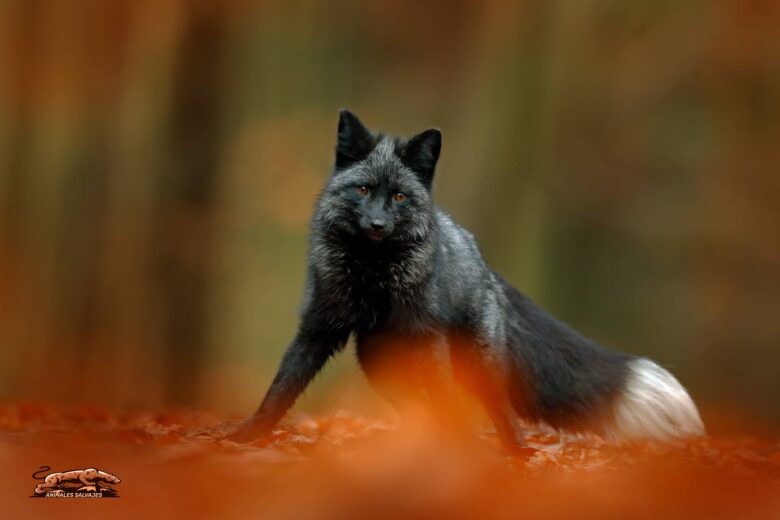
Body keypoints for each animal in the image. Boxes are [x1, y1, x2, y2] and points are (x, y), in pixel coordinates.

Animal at [228, 109, 705, 448]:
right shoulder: (317, 327)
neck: (373, 277)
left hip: (474, 362)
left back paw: (516, 454)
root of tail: (486, 268)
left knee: (493, 412)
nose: (378, 224)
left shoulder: (428, 338)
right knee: (419, 408)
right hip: (381, 365)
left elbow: (447, 404)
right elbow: (280, 390)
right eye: (363, 190)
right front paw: (248, 436)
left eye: (399, 196)